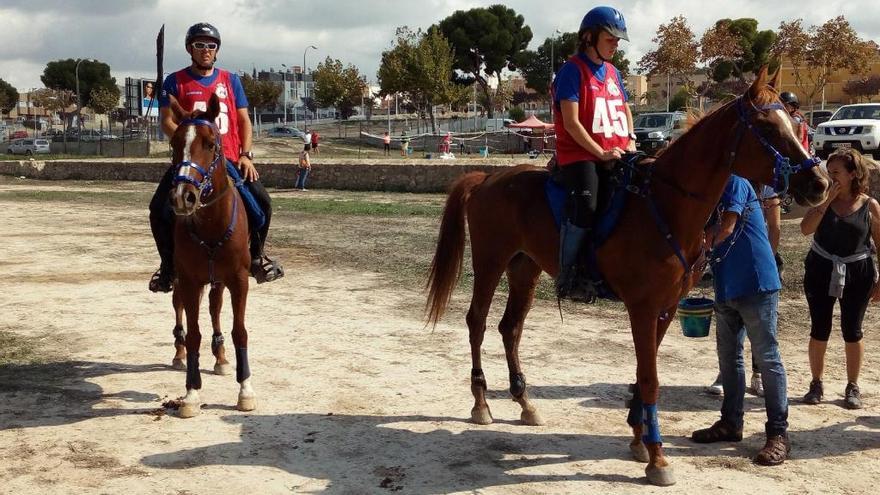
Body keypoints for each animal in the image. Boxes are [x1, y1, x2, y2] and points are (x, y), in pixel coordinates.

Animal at [166, 94, 254, 418]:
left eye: (211, 144)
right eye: (174, 144)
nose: (183, 196)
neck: (211, 224)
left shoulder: (239, 280)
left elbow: (239, 331)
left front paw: (245, 391)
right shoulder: (190, 280)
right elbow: (193, 334)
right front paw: (191, 394)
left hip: (218, 280)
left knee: (215, 309)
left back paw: (221, 357)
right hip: (181, 280)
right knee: (178, 307)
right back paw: (178, 353)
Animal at [422, 67, 828, 488]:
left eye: (796, 124)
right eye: (767, 126)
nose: (819, 182)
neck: (665, 205)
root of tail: (486, 178)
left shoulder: (665, 309)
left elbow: (642, 373)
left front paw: (638, 437)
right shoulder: (642, 308)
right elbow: (650, 379)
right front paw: (657, 456)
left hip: (524, 269)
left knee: (510, 328)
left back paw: (524, 401)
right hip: (490, 263)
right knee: (477, 323)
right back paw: (481, 403)